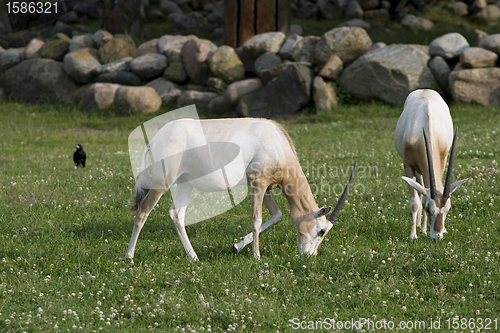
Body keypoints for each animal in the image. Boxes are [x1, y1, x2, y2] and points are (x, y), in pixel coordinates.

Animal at [127, 118, 358, 260]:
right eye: (321, 230)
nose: (310, 256)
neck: (277, 142)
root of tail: (155, 139)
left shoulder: (264, 186)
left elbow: (277, 215)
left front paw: (237, 246)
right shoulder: (258, 182)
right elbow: (257, 219)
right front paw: (256, 256)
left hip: (185, 183)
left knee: (176, 214)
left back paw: (194, 257)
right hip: (163, 182)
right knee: (143, 211)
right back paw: (129, 256)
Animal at [394, 89, 468, 237]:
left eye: (448, 209)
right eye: (429, 209)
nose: (437, 236)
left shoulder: (442, 161)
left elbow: (423, 195)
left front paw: (426, 230)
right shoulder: (408, 165)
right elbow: (415, 202)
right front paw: (413, 235)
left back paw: (422, 228)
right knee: (420, 189)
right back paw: (418, 226)